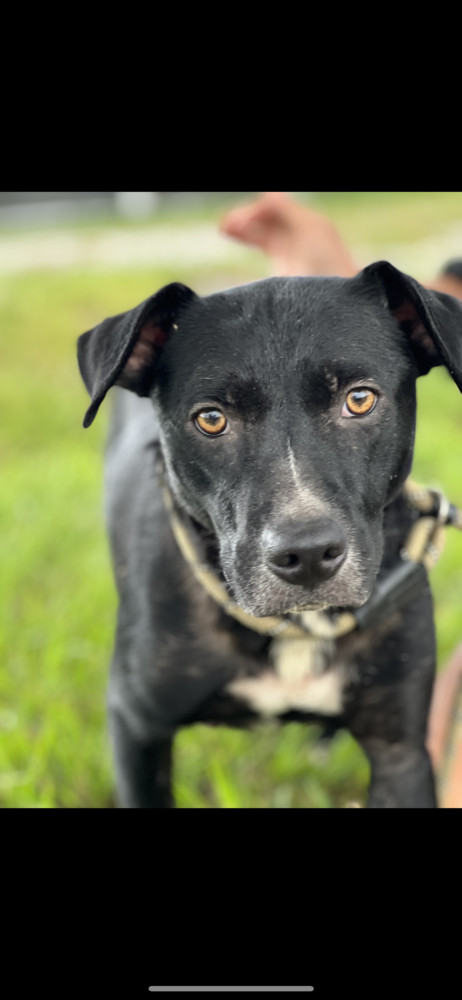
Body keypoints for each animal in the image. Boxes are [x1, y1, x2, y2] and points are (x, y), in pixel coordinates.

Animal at [77, 262, 460, 808]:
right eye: (211, 419)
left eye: (359, 399)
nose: (308, 556)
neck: (296, 629)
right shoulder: (137, 729)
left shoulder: (400, 751)